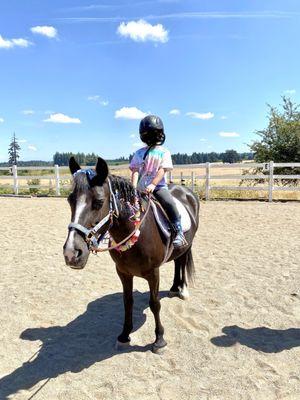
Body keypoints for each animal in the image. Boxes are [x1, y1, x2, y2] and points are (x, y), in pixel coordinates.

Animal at [63, 156, 199, 354]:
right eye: (70, 200)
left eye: (98, 202)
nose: (72, 252)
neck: (136, 232)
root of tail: (186, 191)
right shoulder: (123, 272)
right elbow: (127, 302)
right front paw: (124, 335)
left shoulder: (153, 273)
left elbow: (154, 304)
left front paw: (159, 340)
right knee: (176, 262)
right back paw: (175, 287)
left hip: (188, 245)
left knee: (182, 261)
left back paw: (183, 290)